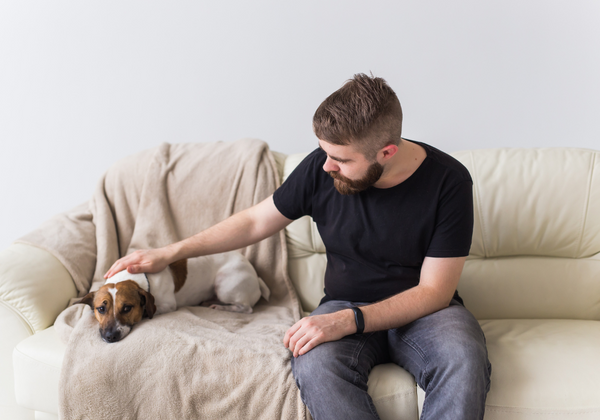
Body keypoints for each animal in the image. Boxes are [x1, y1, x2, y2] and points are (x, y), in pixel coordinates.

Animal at [79, 251, 270, 342]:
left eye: (127, 308)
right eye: (101, 309)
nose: (110, 336)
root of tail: (256, 275)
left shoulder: (168, 305)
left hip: (224, 284)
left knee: (246, 308)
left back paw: (221, 306)